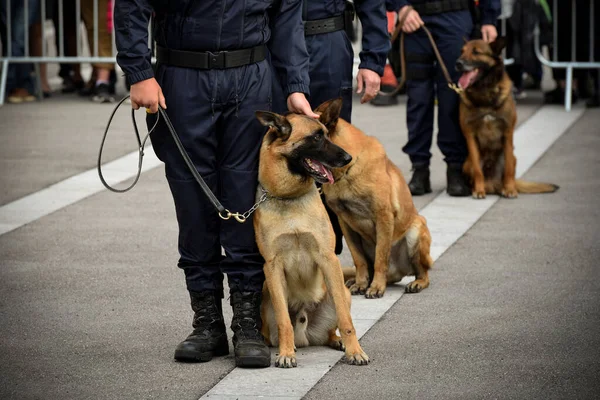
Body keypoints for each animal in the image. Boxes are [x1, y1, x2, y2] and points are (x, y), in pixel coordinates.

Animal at [254, 108, 370, 368]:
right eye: (316, 137)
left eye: (327, 134)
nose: (348, 158)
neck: (289, 199)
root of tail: (304, 329)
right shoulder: (272, 267)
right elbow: (283, 321)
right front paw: (286, 353)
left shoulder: (328, 259)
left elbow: (346, 321)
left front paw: (355, 351)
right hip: (266, 292)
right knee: (276, 326)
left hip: (342, 292)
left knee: (332, 327)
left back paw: (338, 341)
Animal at [316, 99, 434, 300]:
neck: (348, 170)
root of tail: (396, 273)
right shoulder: (345, 224)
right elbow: (359, 259)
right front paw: (361, 284)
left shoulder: (383, 217)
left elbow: (380, 257)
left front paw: (376, 287)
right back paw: (355, 281)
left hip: (416, 232)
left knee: (423, 273)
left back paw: (416, 283)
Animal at [458, 38, 560, 198]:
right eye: (462, 51)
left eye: (476, 52)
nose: (458, 63)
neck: (484, 92)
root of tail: (492, 184)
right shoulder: (470, 136)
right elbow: (478, 171)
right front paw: (478, 190)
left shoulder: (507, 133)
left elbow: (508, 169)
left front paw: (510, 189)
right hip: (467, 163)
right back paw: (479, 187)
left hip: (513, 156)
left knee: (509, 169)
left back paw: (507, 187)